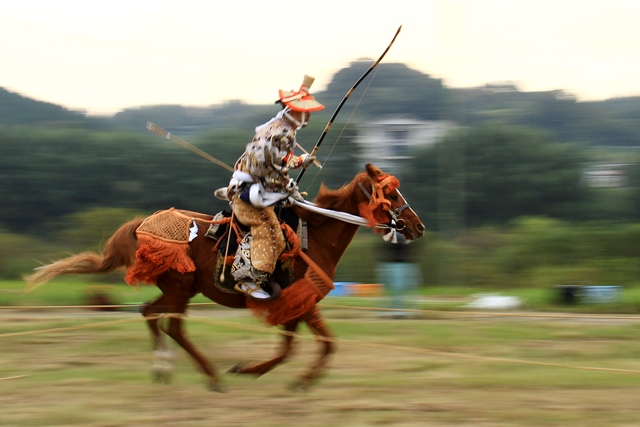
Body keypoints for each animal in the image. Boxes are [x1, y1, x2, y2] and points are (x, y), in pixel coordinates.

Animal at [23, 163, 424, 392]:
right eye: (390, 192)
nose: (417, 226)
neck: (315, 236)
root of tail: (142, 226)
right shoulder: (301, 300)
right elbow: (308, 346)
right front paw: (270, 374)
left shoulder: (299, 302)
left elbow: (306, 345)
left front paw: (272, 374)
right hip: (181, 288)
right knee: (172, 326)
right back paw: (211, 376)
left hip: (178, 288)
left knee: (149, 312)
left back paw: (164, 368)